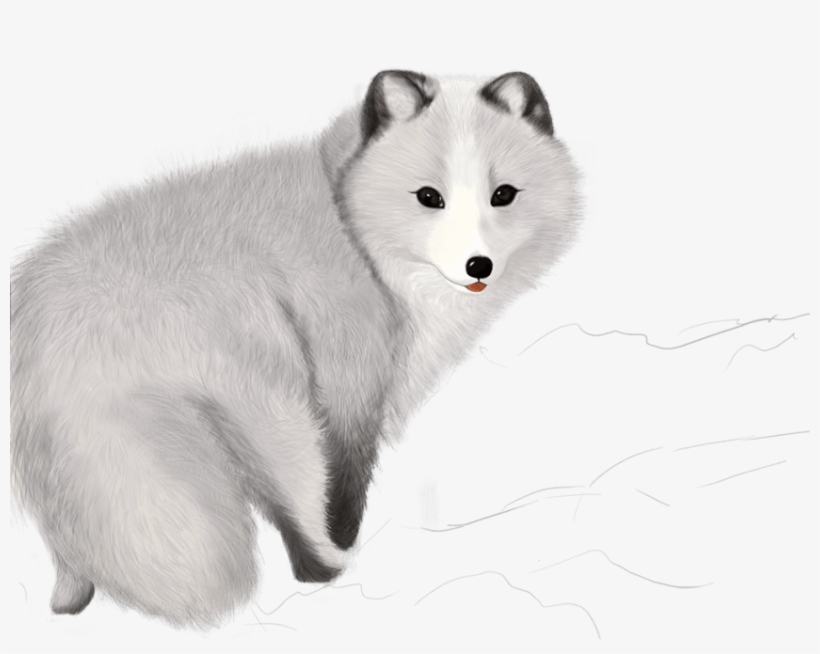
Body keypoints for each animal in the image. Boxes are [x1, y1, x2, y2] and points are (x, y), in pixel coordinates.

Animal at [10, 70, 580, 627]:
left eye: (503, 194)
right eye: (429, 197)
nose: (478, 266)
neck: (352, 227)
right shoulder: (351, 386)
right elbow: (347, 482)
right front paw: (344, 543)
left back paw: (68, 599)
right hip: (279, 410)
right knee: (297, 500)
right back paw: (328, 569)